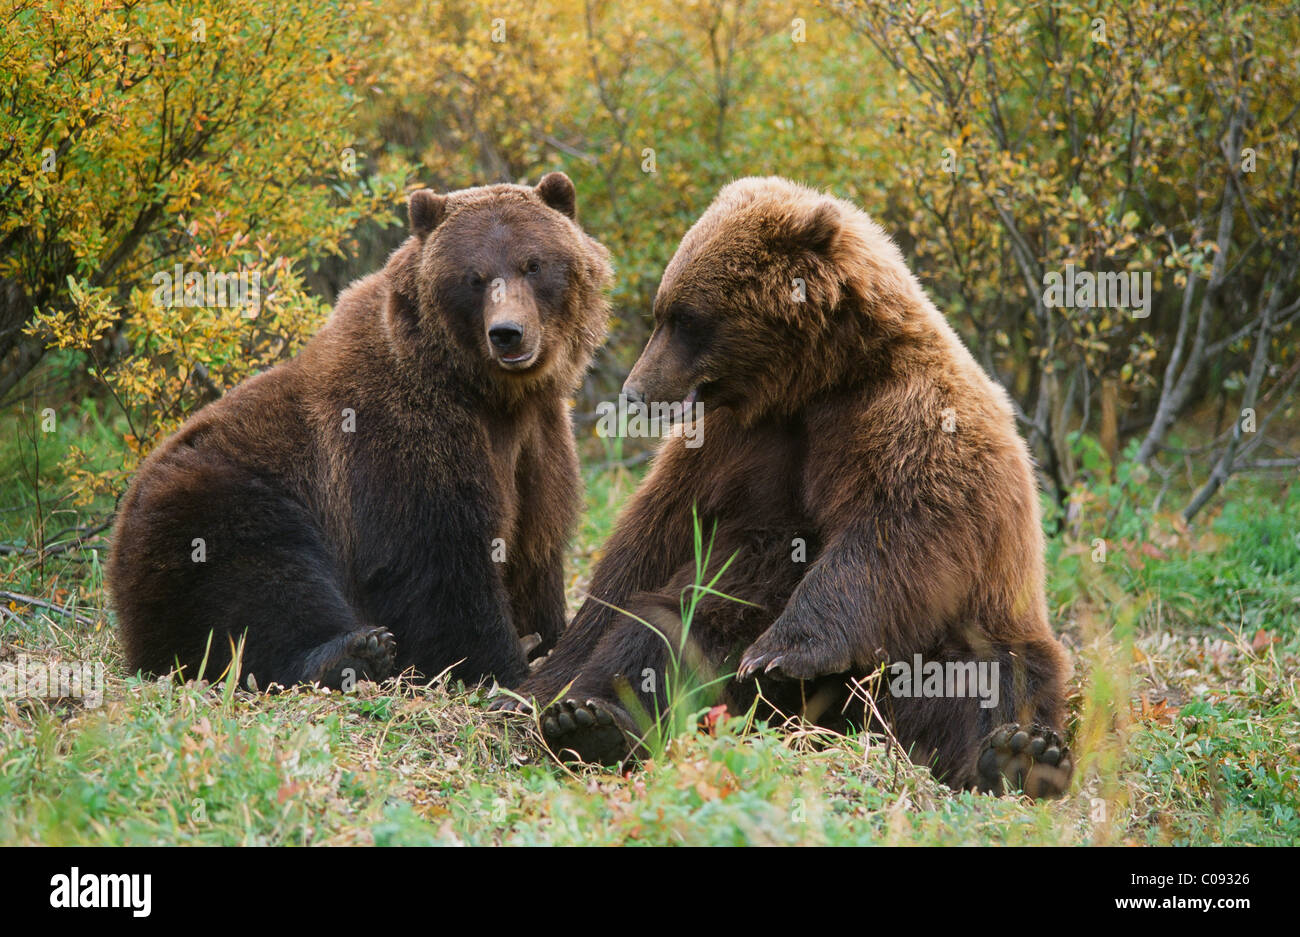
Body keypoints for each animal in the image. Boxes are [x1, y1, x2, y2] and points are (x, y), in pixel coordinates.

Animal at [109, 174, 611, 686]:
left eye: (534, 264)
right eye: (474, 277)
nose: (508, 333)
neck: (491, 394)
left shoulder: (540, 440)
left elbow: (536, 545)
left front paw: (549, 636)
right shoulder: (403, 435)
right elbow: (440, 561)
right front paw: (503, 663)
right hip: (216, 500)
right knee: (259, 579)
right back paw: (351, 652)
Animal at [506, 175, 1076, 795]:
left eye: (686, 318)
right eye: (663, 312)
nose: (635, 392)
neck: (812, 384)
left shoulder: (914, 419)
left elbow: (898, 533)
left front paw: (781, 653)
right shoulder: (730, 448)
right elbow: (650, 545)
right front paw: (544, 682)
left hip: (978, 634)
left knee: (988, 679)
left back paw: (1020, 754)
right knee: (663, 632)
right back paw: (591, 723)